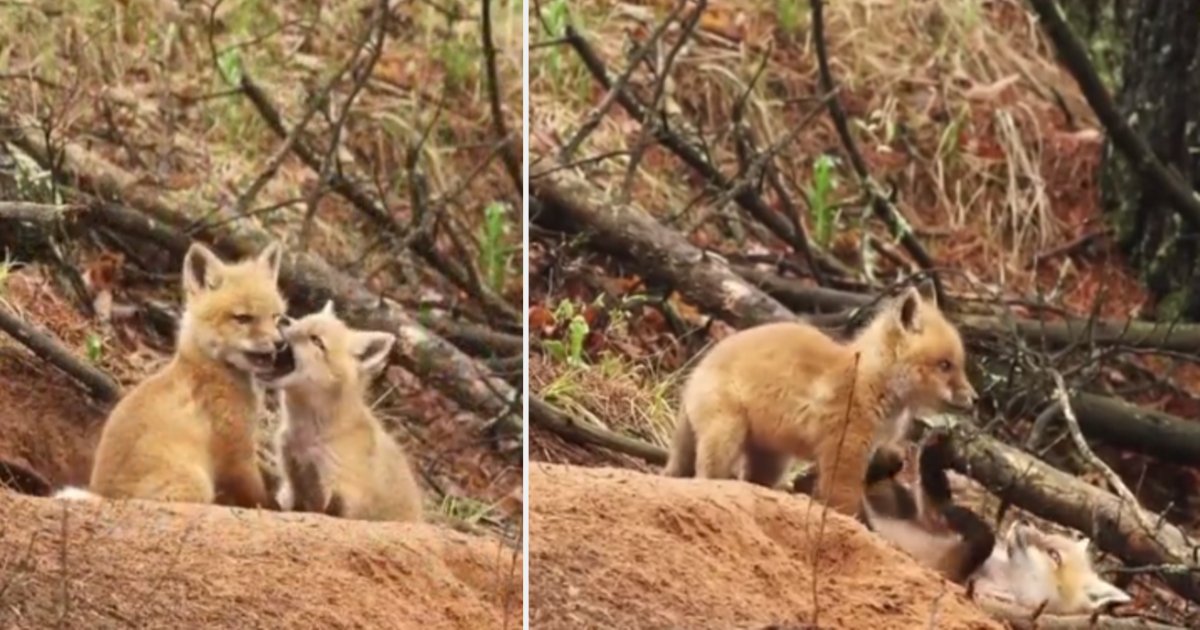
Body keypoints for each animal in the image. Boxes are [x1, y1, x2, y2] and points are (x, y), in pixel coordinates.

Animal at [59, 241, 288, 506]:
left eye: (275, 317)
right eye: (243, 318)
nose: (280, 344)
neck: (210, 367)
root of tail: (108, 497)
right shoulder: (236, 451)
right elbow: (258, 496)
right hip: (198, 485)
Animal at [258, 300, 422, 520]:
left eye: (316, 341)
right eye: (298, 320)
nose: (282, 318)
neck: (309, 438)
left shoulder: (341, 493)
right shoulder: (294, 479)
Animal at [667, 282, 974, 513]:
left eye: (959, 364)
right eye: (945, 365)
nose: (973, 399)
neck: (870, 380)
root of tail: (695, 372)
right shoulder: (844, 451)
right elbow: (843, 505)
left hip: (771, 460)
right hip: (726, 438)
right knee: (704, 476)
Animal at [864, 434, 1123, 612]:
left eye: (1055, 556)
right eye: (1052, 540)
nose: (1024, 521)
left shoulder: (952, 574)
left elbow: (981, 537)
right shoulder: (924, 517)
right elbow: (929, 499)